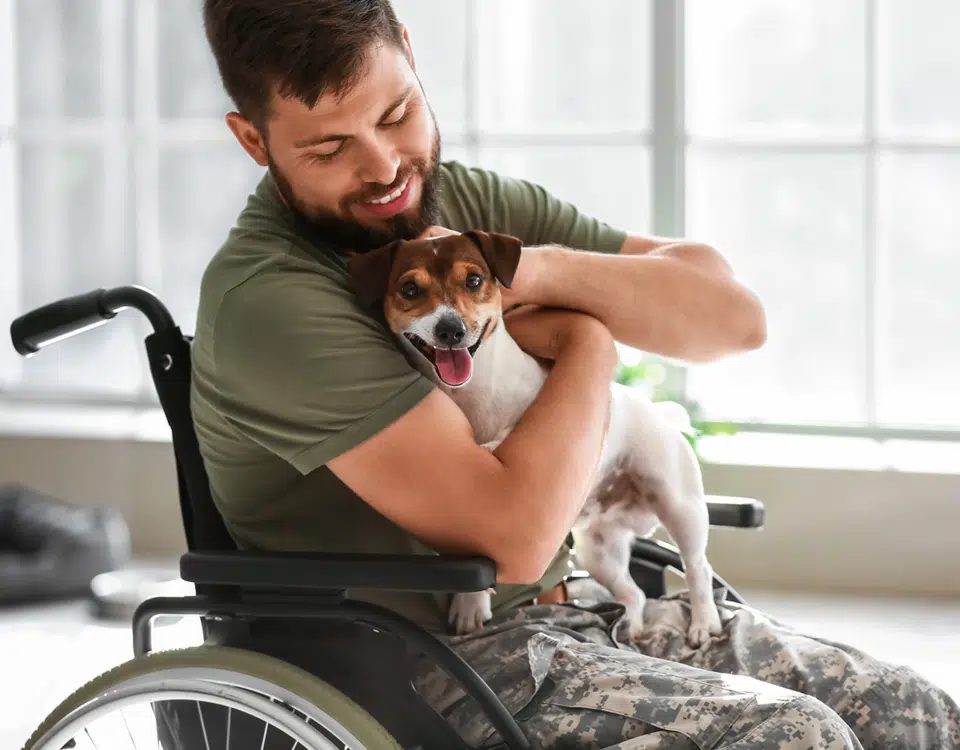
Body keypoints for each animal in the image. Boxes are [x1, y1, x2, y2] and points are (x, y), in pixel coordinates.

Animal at [348, 229, 724, 648]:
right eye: (410, 288)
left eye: (474, 280)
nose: (452, 330)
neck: (473, 392)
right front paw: (470, 603)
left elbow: (505, 434)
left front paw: (490, 443)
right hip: (599, 550)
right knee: (636, 593)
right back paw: (631, 625)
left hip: (679, 505)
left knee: (698, 567)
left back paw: (703, 622)